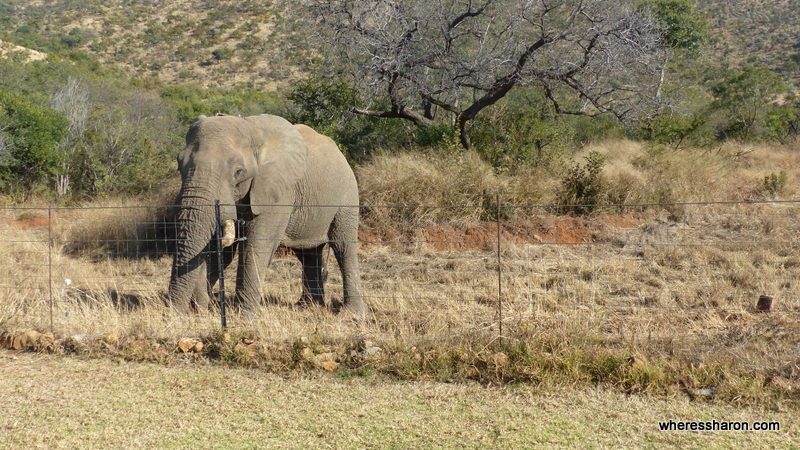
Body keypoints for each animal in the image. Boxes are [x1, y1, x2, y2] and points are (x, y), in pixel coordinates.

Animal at [170, 113, 368, 316]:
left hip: (347, 194)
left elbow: (258, 243)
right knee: (308, 253)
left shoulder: (278, 191)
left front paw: (244, 316)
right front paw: (203, 309)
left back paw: (351, 314)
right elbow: (222, 249)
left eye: (238, 172)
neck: (250, 129)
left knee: (342, 245)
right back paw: (307, 306)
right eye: (179, 165)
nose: (174, 311)